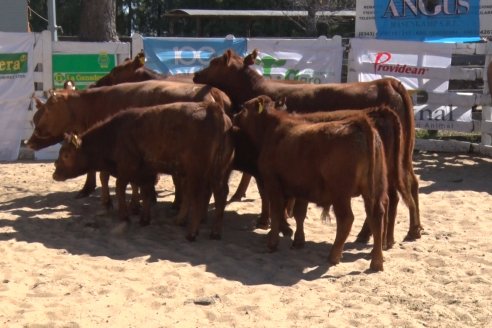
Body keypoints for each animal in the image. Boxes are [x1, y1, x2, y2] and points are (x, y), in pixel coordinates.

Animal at [27, 80, 232, 211]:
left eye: (47, 111)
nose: (29, 142)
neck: (94, 103)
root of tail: (214, 93)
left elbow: (105, 175)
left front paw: (112, 202)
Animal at [52, 100, 234, 241]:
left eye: (66, 155)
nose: (55, 174)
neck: (115, 134)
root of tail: (213, 109)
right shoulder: (146, 171)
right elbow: (145, 191)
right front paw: (144, 219)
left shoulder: (127, 168)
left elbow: (120, 187)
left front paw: (125, 215)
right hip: (218, 173)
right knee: (220, 195)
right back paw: (214, 232)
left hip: (197, 173)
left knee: (198, 197)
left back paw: (191, 233)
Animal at [192, 49, 422, 243]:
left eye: (214, 62)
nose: (196, 74)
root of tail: (388, 82)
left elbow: (264, 189)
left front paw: (269, 220)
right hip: (403, 157)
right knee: (410, 184)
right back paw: (410, 231)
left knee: (389, 196)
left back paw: (373, 236)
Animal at [234, 95, 388, 272]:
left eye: (244, 107)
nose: (234, 116)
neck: (272, 130)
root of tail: (359, 125)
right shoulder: (302, 188)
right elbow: (299, 214)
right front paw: (298, 241)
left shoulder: (272, 181)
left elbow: (277, 211)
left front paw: (272, 243)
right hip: (373, 190)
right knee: (376, 216)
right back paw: (376, 261)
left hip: (341, 194)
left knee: (346, 219)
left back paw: (334, 256)